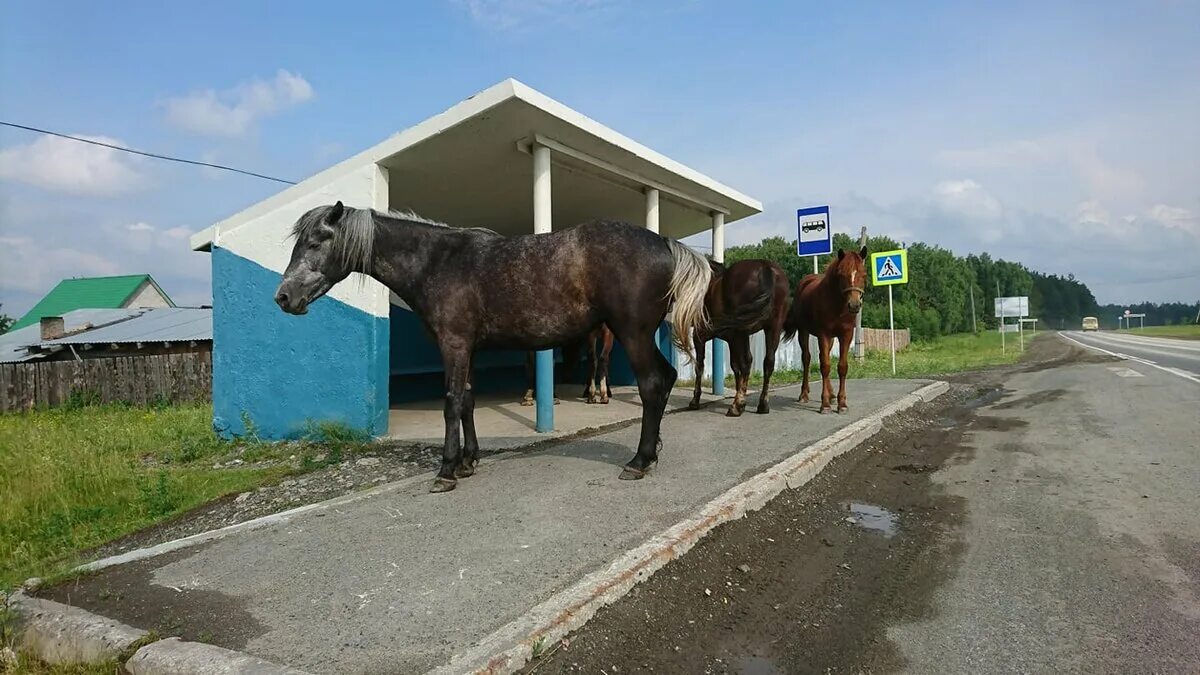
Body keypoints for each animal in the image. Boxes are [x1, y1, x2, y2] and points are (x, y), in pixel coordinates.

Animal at [691, 257, 792, 415]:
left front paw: (695, 400)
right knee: (768, 362)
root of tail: (764, 266)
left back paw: (736, 406)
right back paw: (762, 404)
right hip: (772, 327)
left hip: (743, 330)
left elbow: (700, 365)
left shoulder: (700, 335)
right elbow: (736, 366)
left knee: (747, 362)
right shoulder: (732, 339)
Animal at [782, 243, 868, 413]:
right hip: (804, 332)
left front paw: (842, 403)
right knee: (807, 358)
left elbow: (841, 366)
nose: (854, 305)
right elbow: (825, 366)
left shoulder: (846, 335)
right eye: (842, 274)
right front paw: (825, 404)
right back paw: (804, 394)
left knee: (824, 355)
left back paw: (832, 395)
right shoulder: (824, 334)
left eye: (864, 274)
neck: (837, 305)